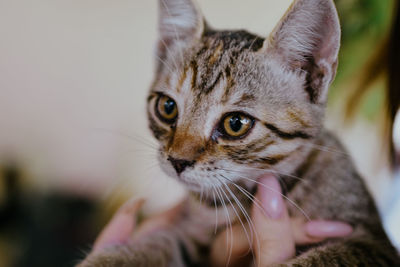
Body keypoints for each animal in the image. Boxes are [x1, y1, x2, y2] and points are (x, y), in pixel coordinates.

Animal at [78, 0, 400, 266]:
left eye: (235, 123)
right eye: (167, 107)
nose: (178, 161)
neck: (238, 199)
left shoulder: (371, 241)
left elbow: (323, 258)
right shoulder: (193, 237)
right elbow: (159, 241)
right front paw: (108, 259)